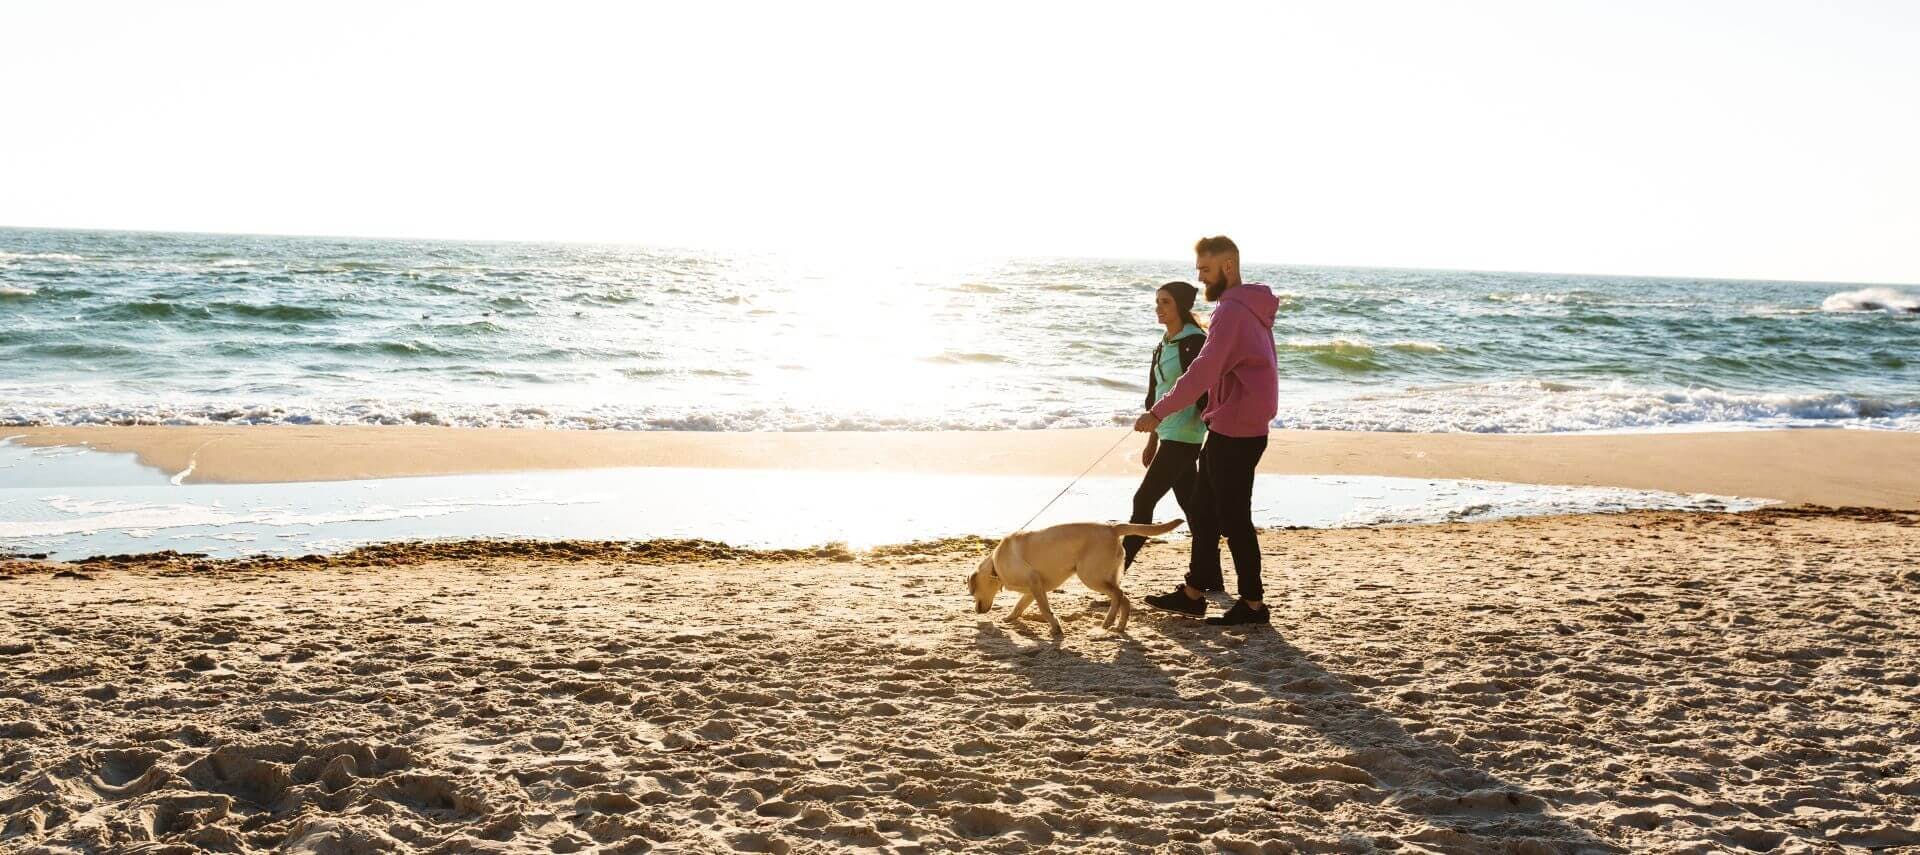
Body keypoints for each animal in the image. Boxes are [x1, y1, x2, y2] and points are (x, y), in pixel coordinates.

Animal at [967, 514, 1175, 634]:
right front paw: (1009, 618)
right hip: (1105, 576)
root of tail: (1112, 528)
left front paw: (1055, 628)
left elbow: (1044, 608)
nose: (975, 611)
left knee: (1118, 594)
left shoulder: (1033, 581)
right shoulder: (1034, 588)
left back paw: (1108, 622)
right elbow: (1020, 606)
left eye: (973, 591)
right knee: (1125, 598)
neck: (995, 566)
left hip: (1090, 576)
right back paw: (1120, 626)